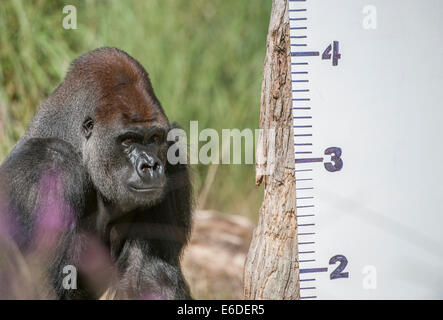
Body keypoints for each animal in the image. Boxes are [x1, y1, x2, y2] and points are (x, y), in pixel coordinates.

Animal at [0, 47, 193, 300]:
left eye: (154, 138)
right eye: (127, 140)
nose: (151, 166)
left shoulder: (173, 156)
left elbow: (153, 278)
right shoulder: (49, 167)